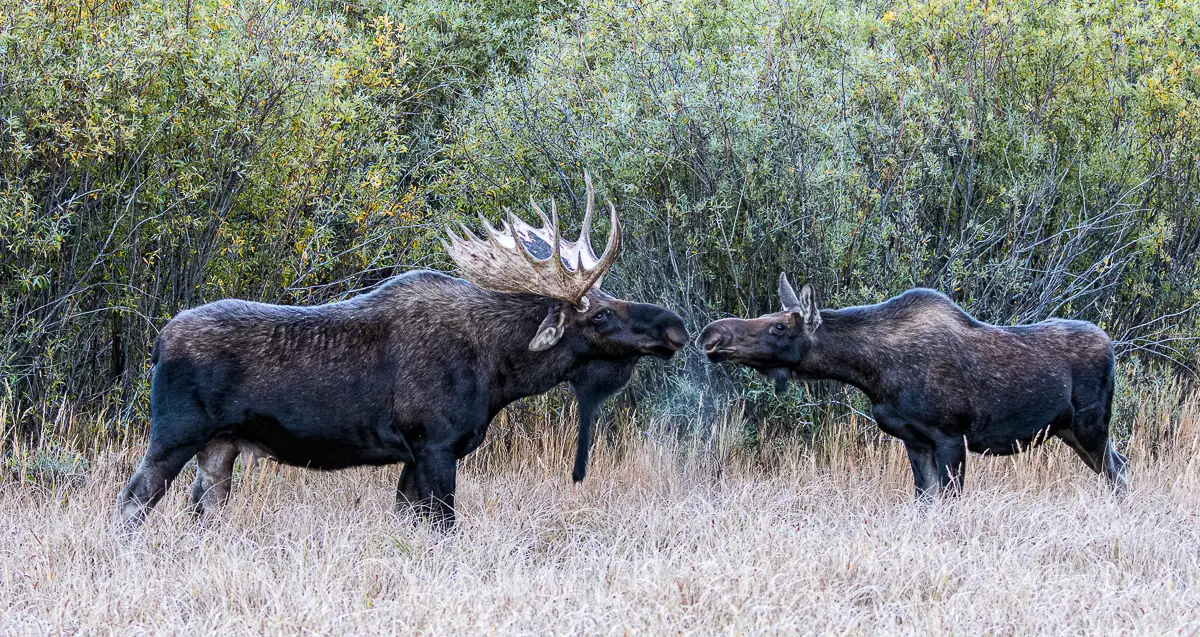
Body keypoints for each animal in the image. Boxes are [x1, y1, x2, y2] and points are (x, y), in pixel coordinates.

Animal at [115, 174, 688, 530]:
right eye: (600, 315)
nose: (676, 326)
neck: (499, 372)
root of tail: (158, 343)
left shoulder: (415, 455)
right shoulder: (433, 442)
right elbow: (444, 529)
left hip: (220, 450)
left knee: (196, 513)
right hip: (174, 435)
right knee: (132, 501)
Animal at [698, 274, 1129, 499]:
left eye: (778, 326)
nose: (711, 335)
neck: (872, 373)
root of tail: (1112, 346)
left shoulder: (950, 435)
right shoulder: (914, 439)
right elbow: (925, 498)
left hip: (1091, 426)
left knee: (1118, 468)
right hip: (1069, 431)